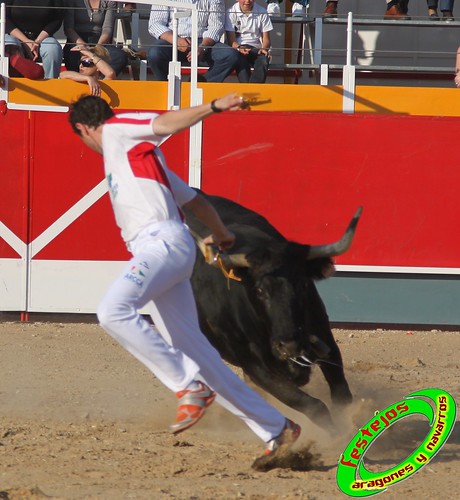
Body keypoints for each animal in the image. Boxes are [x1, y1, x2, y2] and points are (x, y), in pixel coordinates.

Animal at [183, 191, 362, 430]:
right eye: (259, 290)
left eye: (303, 285)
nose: (290, 346)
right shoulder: (256, 367)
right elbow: (312, 405)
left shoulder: (325, 337)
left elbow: (341, 395)